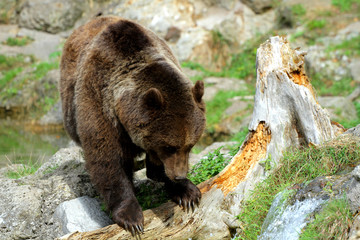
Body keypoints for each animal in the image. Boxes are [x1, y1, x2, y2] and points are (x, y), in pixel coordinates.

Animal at [59, 15, 205, 235]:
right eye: (169, 146)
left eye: (190, 145)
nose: (179, 176)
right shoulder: (99, 102)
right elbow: (108, 160)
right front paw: (131, 217)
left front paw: (187, 192)